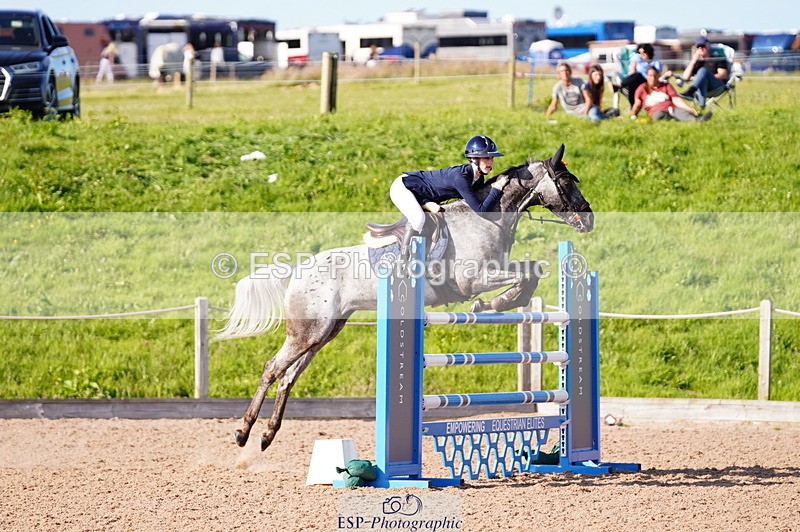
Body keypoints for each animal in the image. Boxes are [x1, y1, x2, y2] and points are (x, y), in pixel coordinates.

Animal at [216, 144, 593, 451]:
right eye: (567, 182)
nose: (588, 219)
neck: (487, 218)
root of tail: (298, 270)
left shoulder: (498, 269)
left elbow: (532, 271)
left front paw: (501, 303)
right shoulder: (474, 279)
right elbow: (519, 277)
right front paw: (492, 303)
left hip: (324, 333)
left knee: (289, 376)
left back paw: (267, 435)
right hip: (307, 331)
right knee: (272, 369)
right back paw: (244, 432)